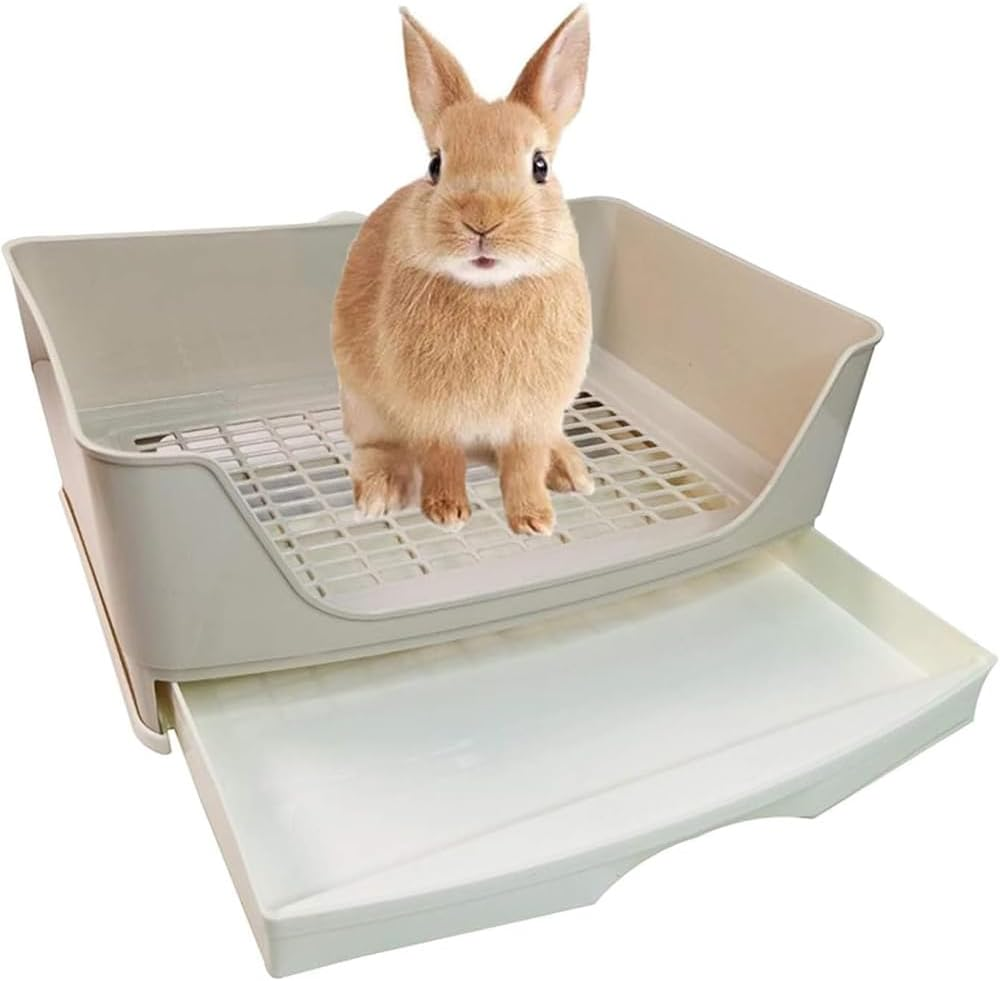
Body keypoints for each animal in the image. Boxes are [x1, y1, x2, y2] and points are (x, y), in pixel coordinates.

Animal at [332, 6, 593, 536]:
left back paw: (569, 469)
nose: (482, 220)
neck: (489, 289)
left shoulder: (531, 420)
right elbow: (442, 460)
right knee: (378, 447)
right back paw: (380, 491)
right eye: (435, 165)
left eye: (540, 166)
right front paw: (447, 512)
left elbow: (524, 466)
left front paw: (535, 520)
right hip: (363, 406)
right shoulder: (432, 419)